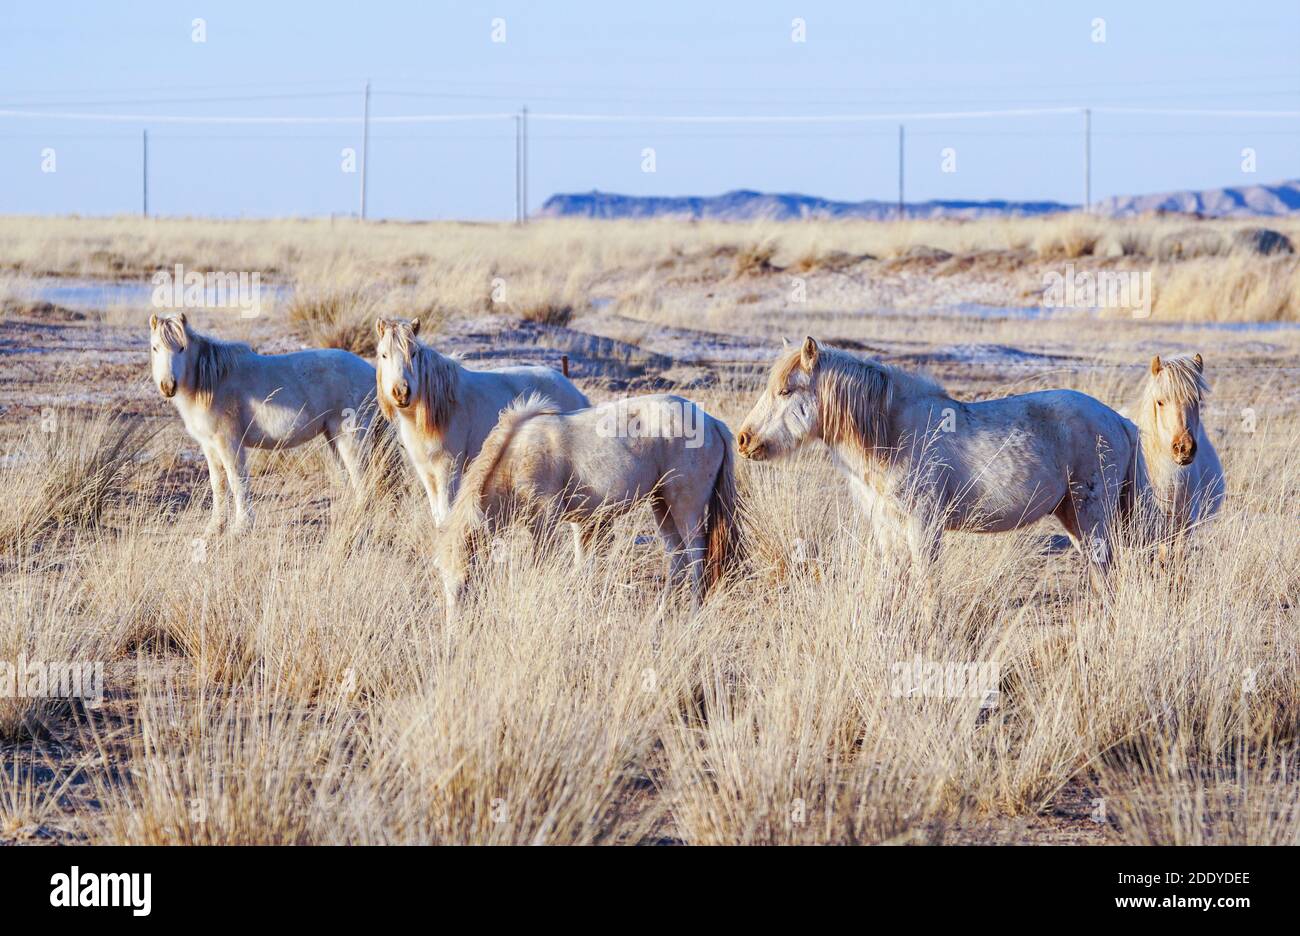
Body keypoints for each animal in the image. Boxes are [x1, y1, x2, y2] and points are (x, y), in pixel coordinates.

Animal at [150, 312, 379, 533]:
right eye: (155, 347)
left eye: (182, 348)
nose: (168, 386)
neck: (211, 383)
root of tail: (371, 372)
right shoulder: (209, 446)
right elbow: (218, 484)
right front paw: (215, 527)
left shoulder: (229, 443)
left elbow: (237, 480)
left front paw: (241, 526)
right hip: (335, 437)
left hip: (351, 437)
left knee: (361, 474)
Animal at [369, 318, 587, 525]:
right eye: (383, 355)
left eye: (414, 353)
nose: (401, 392)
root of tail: (576, 392)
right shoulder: (426, 471)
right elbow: (437, 515)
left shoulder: (448, 468)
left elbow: (446, 514)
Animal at [436, 390, 743, 613]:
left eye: (466, 581)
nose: (455, 630)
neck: (515, 456)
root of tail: (712, 422)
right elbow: (581, 565)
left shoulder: (545, 523)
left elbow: (543, 565)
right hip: (661, 505)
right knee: (676, 556)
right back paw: (661, 612)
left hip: (685, 508)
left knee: (695, 556)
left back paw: (693, 612)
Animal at [738, 335, 1144, 577]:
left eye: (787, 390)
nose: (744, 439)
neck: (892, 433)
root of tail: (1118, 419)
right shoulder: (889, 528)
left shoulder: (924, 526)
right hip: (1072, 516)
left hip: (1090, 516)